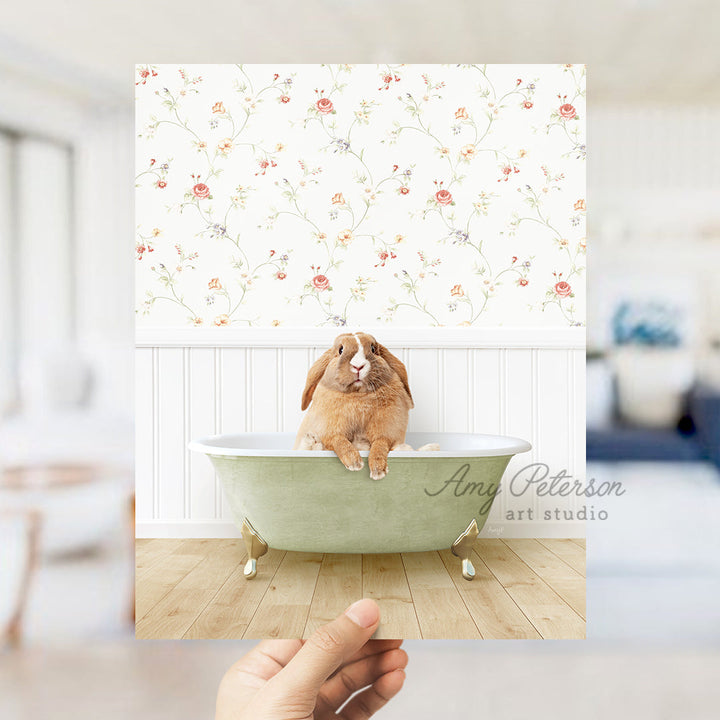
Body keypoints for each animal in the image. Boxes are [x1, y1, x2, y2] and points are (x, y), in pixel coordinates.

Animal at [292, 334, 414, 480]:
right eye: (340, 350)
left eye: (373, 349)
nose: (358, 366)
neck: (358, 395)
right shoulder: (330, 431)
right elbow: (339, 441)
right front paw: (354, 463)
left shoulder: (386, 433)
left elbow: (380, 444)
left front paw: (378, 470)